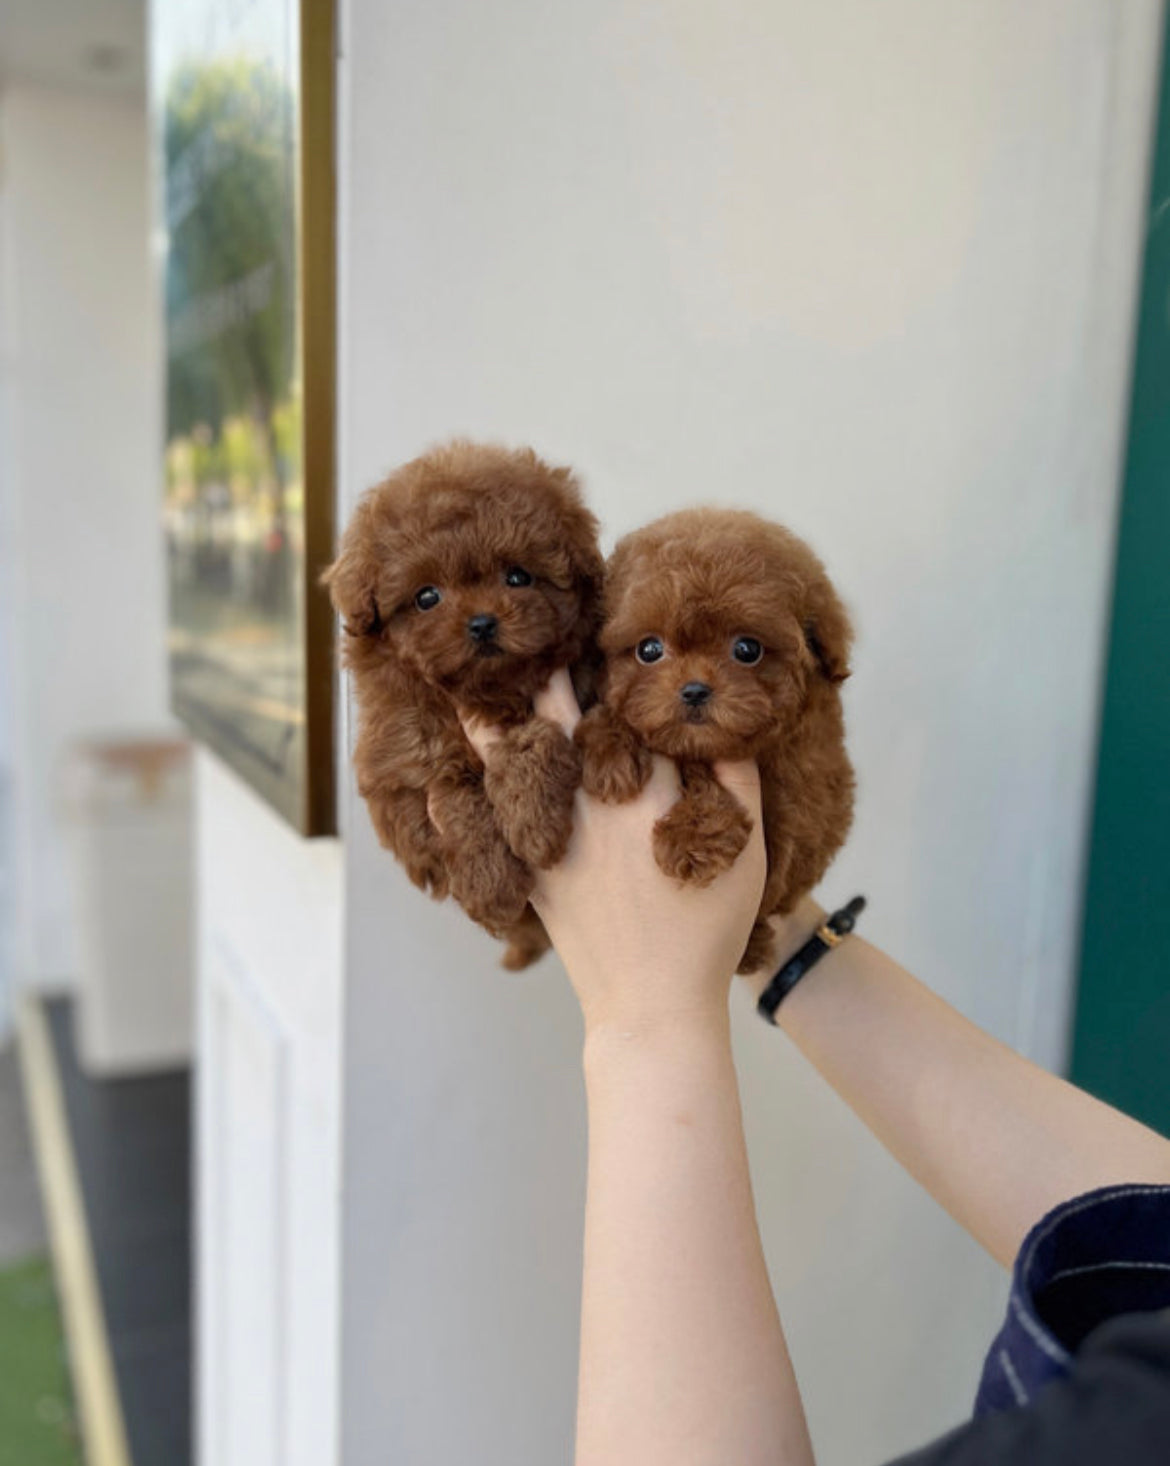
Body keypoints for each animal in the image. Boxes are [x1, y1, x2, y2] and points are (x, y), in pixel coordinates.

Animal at [326, 439, 604, 967]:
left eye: (517, 576)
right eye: (426, 596)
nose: (481, 623)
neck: (485, 693)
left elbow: (534, 738)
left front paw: (533, 821)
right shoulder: (402, 766)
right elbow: (456, 793)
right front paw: (492, 884)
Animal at [574, 504, 850, 973]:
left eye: (747, 650)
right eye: (649, 649)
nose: (695, 690)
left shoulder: (805, 798)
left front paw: (693, 838)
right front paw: (608, 753)